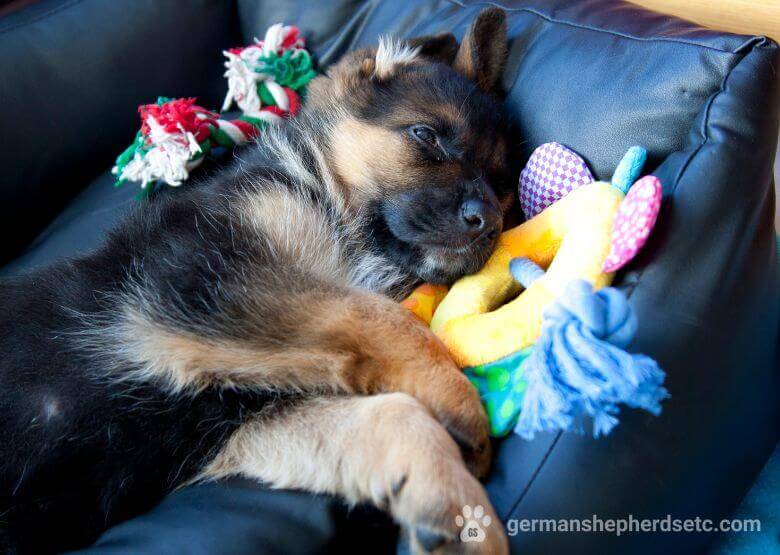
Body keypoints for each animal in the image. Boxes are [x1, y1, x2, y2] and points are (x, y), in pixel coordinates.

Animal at [0, 6, 516, 552]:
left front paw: (458, 514)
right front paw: (458, 397)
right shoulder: (206, 276)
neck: (320, 191)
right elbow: (379, 317)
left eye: (502, 184)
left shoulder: (235, 418)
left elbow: (388, 415)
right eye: (425, 136)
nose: (488, 221)